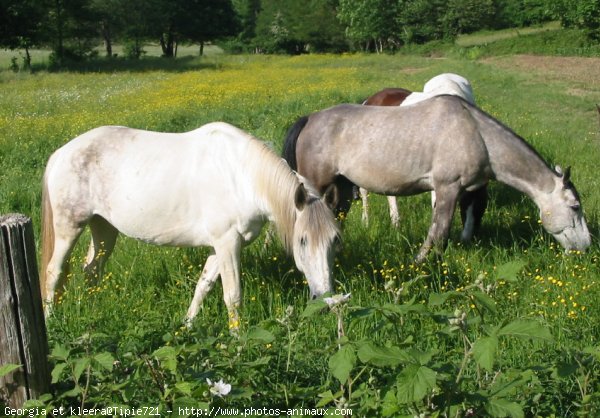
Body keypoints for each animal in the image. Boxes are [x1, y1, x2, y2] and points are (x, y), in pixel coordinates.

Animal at [41, 121, 342, 330]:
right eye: (302, 241)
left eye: (334, 241)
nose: (324, 298)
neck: (241, 176)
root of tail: (61, 153)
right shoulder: (227, 243)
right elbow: (233, 296)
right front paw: (238, 341)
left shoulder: (221, 246)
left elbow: (203, 286)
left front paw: (187, 326)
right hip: (70, 227)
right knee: (54, 272)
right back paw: (50, 319)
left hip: (103, 227)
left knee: (92, 270)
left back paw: (91, 310)